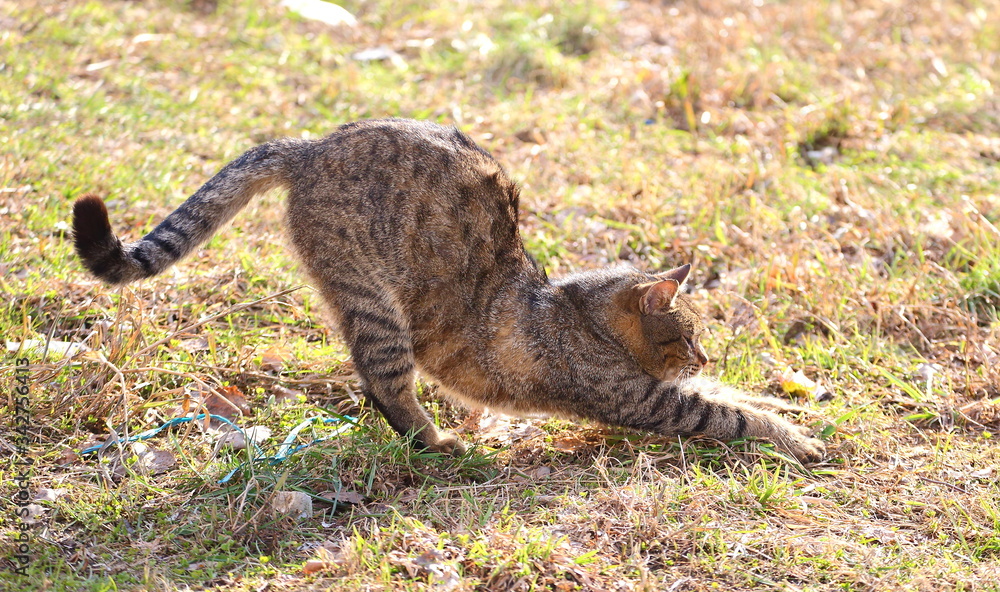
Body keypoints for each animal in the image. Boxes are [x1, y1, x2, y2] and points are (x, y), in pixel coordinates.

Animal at [72, 118, 828, 464]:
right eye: (689, 335)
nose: (703, 356)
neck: (576, 312)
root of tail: (312, 143)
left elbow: (735, 398)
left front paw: (778, 401)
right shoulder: (640, 399)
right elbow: (724, 413)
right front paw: (793, 436)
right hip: (375, 304)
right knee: (384, 386)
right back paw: (439, 443)